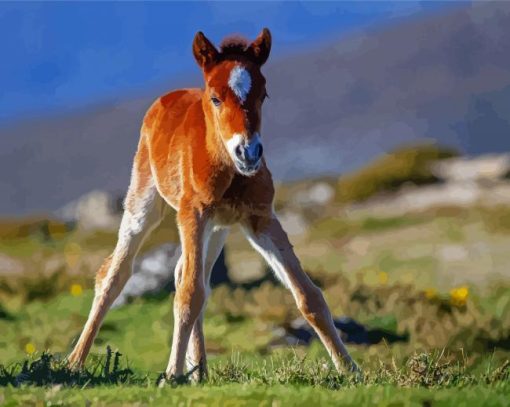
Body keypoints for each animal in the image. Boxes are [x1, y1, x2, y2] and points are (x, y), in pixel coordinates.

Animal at [67, 27, 356, 380]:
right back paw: (75, 361)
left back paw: (200, 371)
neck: (227, 169)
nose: (249, 152)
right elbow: (189, 295)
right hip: (145, 200)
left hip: (218, 228)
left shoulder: (260, 218)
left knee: (190, 274)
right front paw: (171, 375)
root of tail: (165, 98)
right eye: (216, 98)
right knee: (116, 274)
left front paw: (351, 370)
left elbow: (308, 294)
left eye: (263, 95)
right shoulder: (193, 214)